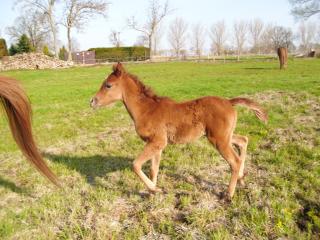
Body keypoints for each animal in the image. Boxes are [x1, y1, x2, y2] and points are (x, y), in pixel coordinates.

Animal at [90, 62, 268, 200]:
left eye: (108, 85)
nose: (92, 101)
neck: (147, 110)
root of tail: (229, 102)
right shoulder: (156, 144)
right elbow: (154, 169)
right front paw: (153, 192)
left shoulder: (158, 141)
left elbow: (136, 165)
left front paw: (154, 189)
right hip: (224, 136)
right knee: (243, 141)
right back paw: (242, 179)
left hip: (218, 139)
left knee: (234, 161)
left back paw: (228, 194)